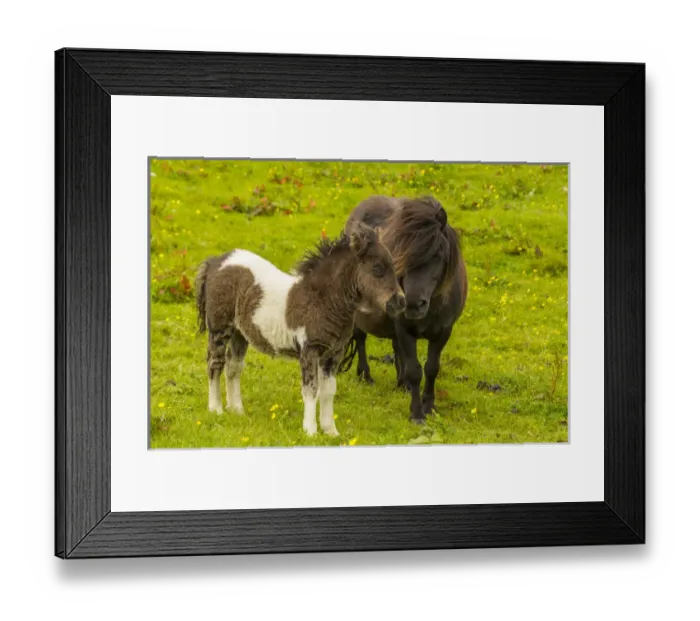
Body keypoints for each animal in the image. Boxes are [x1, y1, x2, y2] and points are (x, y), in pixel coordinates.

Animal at [194, 220, 406, 437]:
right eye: (378, 268)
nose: (400, 302)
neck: (323, 300)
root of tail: (215, 261)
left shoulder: (333, 353)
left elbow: (328, 391)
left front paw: (330, 431)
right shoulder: (309, 349)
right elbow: (311, 389)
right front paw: (310, 431)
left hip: (240, 334)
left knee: (233, 367)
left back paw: (237, 410)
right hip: (219, 328)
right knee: (215, 364)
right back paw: (216, 409)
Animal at [340, 195, 468, 425]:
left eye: (438, 254)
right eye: (401, 255)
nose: (413, 304)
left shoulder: (443, 332)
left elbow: (431, 368)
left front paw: (429, 406)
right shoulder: (405, 329)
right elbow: (415, 371)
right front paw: (416, 413)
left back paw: (401, 384)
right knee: (361, 338)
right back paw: (365, 376)